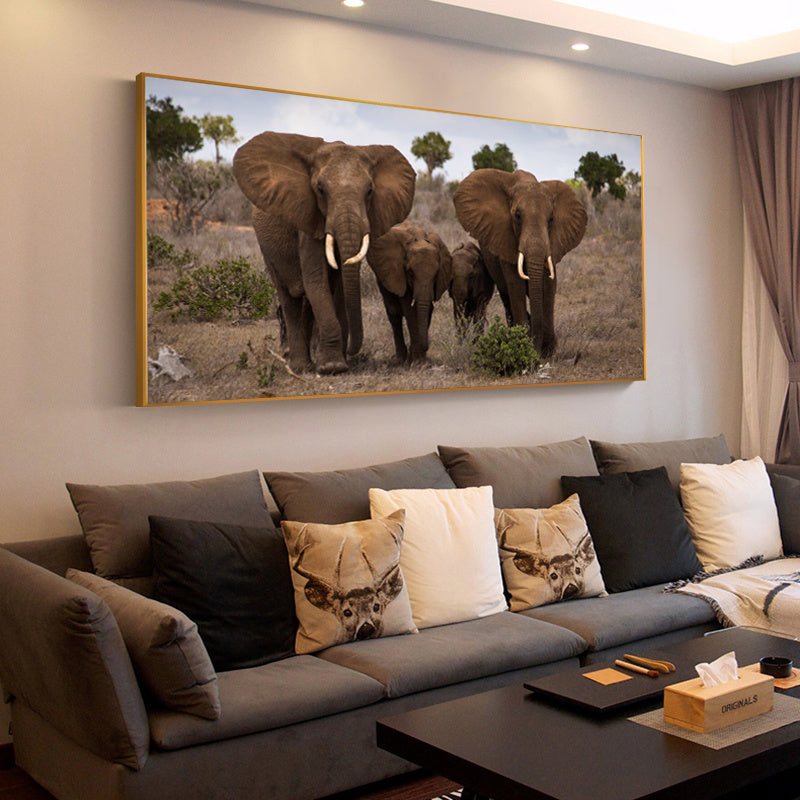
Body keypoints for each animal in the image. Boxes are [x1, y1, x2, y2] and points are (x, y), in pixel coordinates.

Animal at [233, 132, 416, 374]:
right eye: (320, 190)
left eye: (369, 191)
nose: (352, 351)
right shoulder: (308, 218)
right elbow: (316, 279)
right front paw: (332, 367)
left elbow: (337, 285)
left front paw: (335, 363)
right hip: (267, 248)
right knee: (288, 296)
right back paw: (300, 367)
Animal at [367, 222, 453, 364]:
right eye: (411, 273)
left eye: (436, 275)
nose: (426, 347)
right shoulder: (399, 274)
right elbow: (410, 312)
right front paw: (417, 362)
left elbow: (427, 310)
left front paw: (419, 359)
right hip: (382, 278)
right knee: (393, 314)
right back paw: (400, 359)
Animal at [453, 169, 587, 358]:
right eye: (517, 216)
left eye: (551, 219)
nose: (538, 350)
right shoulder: (504, 238)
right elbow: (515, 284)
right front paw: (525, 344)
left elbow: (549, 285)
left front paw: (548, 350)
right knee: (506, 295)